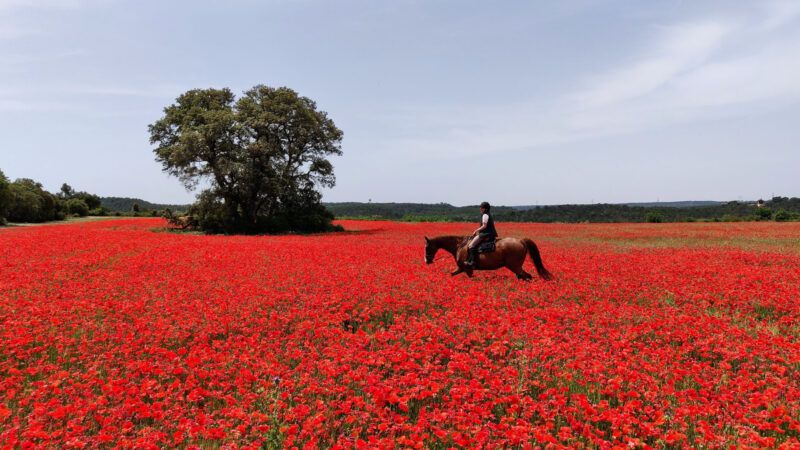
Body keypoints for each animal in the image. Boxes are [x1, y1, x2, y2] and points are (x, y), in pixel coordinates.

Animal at [422, 236, 552, 282]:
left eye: (427, 248)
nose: (427, 261)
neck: (459, 246)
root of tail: (521, 241)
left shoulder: (467, 269)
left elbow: (471, 278)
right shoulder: (461, 268)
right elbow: (451, 274)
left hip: (514, 266)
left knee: (527, 276)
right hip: (516, 267)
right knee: (523, 277)